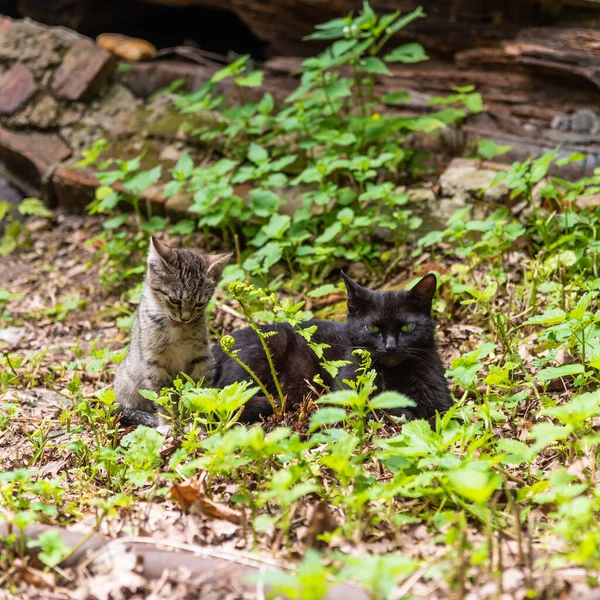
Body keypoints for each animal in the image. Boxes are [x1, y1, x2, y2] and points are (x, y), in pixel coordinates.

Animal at [114, 237, 230, 424]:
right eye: (174, 300)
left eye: (199, 303)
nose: (185, 318)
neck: (176, 328)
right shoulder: (154, 362)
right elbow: (163, 398)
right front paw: (169, 424)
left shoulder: (202, 358)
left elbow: (200, 391)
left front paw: (198, 423)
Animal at [211, 274, 450, 422]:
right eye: (372, 328)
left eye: (407, 327)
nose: (391, 346)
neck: (395, 373)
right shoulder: (347, 394)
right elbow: (382, 407)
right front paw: (404, 412)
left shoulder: (440, 401)